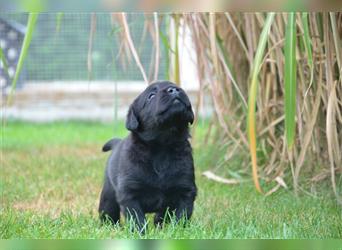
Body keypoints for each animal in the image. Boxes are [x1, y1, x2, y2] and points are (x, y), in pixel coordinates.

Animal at [97, 80, 196, 230]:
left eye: (177, 86)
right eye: (151, 96)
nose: (174, 89)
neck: (163, 146)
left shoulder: (186, 190)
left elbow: (182, 215)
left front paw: (178, 230)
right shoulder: (129, 194)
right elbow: (137, 218)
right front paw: (140, 232)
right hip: (108, 194)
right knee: (108, 211)